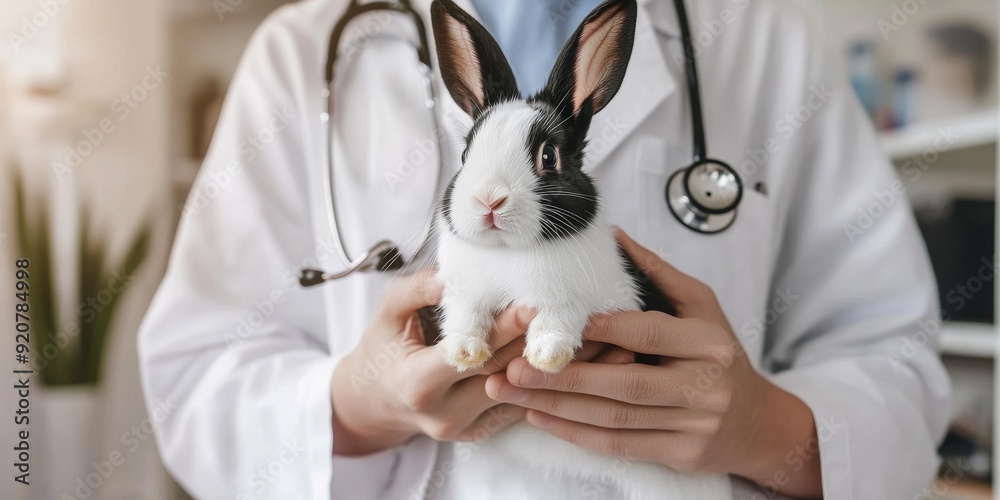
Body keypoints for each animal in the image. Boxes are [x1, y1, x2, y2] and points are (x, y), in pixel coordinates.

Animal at [427, 0, 734, 498]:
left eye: (548, 156)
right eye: (466, 154)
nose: (489, 200)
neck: (511, 253)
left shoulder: (592, 296)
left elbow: (561, 314)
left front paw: (546, 357)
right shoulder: (464, 292)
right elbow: (466, 313)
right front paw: (463, 353)